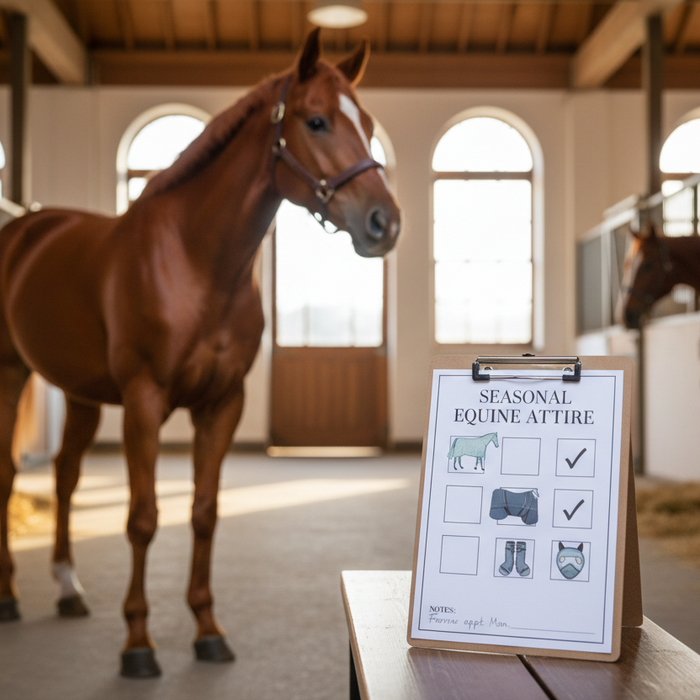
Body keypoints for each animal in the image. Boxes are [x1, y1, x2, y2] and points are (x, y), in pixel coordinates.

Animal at [0, 28, 400, 678]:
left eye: (366, 122)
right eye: (316, 121)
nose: (383, 222)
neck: (195, 261)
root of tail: (27, 227)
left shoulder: (222, 404)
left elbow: (205, 513)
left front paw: (208, 630)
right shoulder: (144, 402)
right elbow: (142, 518)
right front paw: (138, 643)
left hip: (79, 390)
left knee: (63, 475)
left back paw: (67, 589)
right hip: (11, 374)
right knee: (12, 474)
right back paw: (11, 595)